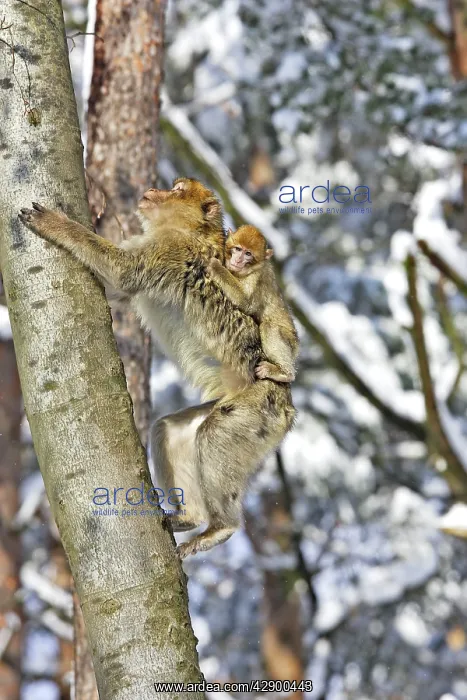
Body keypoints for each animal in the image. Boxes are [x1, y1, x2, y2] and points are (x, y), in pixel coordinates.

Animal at [208, 225, 299, 383]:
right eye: (238, 249)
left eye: (248, 254)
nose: (238, 260)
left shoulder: (256, 278)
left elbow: (245, 301)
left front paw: (215, 267)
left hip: (291, 343)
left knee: (269, 327)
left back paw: (284, 373)